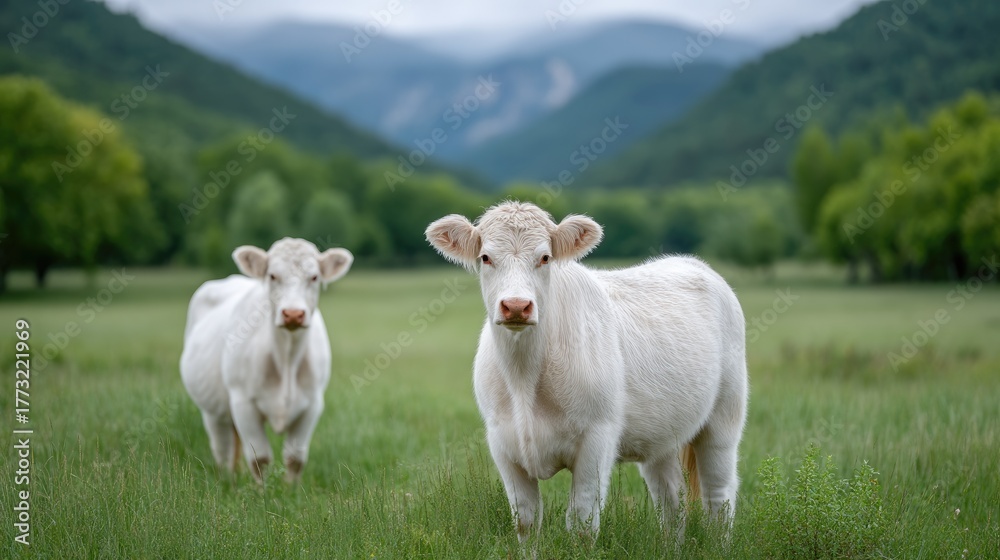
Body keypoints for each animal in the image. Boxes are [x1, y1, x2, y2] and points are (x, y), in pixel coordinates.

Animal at [180, 238, 353, 482]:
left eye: (314, 277)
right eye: (272, 275)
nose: (293, 314)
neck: (287, 358)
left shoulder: (312, 404)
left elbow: (295, 459)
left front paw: (291, 490)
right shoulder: (243, 403)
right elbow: (259, 459)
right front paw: (261, 491)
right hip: (213, 410)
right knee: (222, 451)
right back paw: (227, 483)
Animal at [425, 201, 748, 540]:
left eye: (545, 257)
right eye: (486, 257)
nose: (516, 306)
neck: (524, 378)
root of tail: (692, 262)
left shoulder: (597, 437)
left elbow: (581, 522)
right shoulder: (503, 442)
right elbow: (526, 521)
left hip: (725, 417)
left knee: (719, 498)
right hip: (662, 435)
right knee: (671, 501)